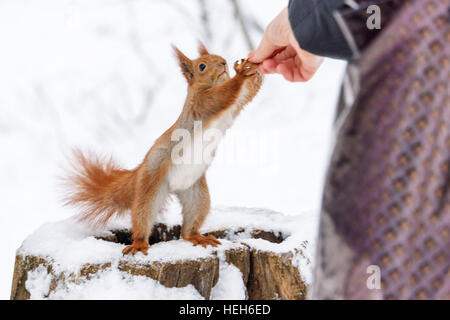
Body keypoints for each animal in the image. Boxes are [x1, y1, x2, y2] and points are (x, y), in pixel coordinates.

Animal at [64, 42, 262, 255]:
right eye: (202, 66)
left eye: (219, 56)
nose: (224, 62)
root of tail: (139, 171)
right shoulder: (202, 103)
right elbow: (224, 95)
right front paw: (241, 74)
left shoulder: (236, 104)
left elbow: (248, 93)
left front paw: (253, 68)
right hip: (150, 187)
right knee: (142, 216)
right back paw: (139, 243)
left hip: (197, 195)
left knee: (188, 227)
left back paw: (197, 237)